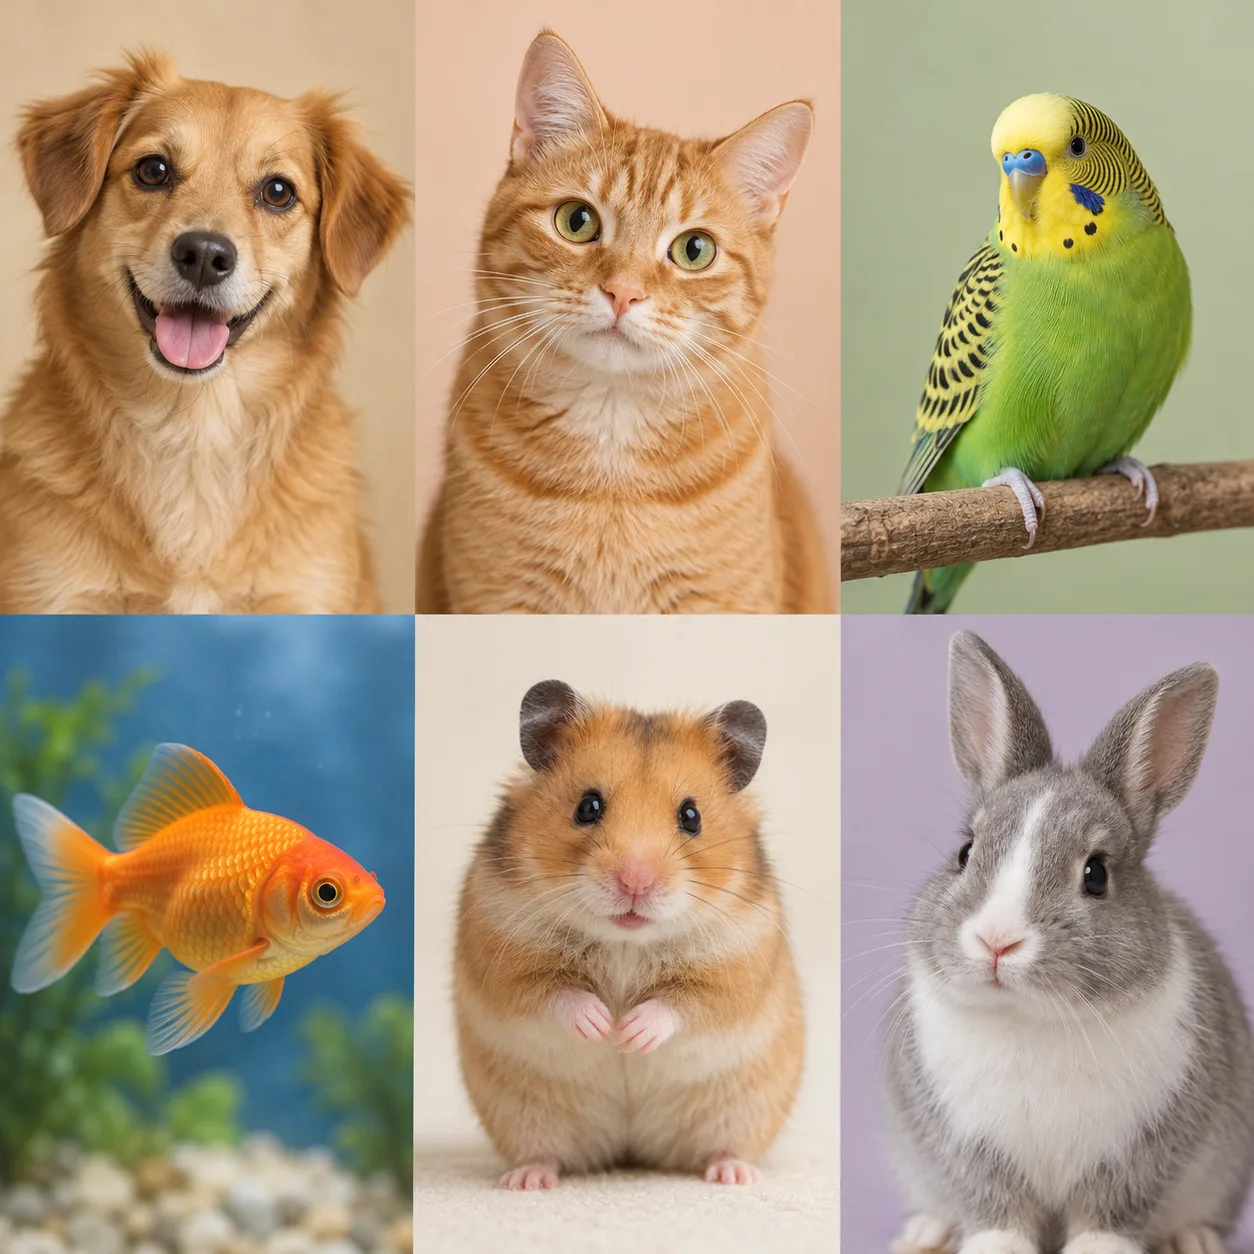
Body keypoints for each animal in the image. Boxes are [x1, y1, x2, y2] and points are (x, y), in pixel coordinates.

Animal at [884, 630, 1254, 1254]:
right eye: (965, 852)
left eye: (1096, 874)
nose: (997, 941)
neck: (1032, 1018)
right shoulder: (969, 1145)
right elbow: (996, 1204)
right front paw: (996, 1245)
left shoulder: (1139, 1154)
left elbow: (1110, 1209)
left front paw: (1097, 1249)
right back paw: (925, 1233)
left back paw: (1193, 1239)